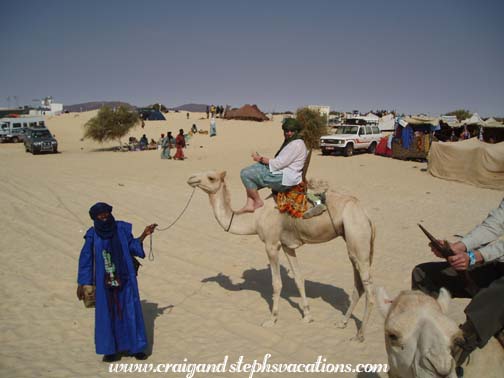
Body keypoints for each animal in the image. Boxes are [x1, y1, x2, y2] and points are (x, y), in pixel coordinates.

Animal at [188, 170, 374, 342]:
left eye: (211, 177)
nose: (191, 178)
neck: (255, 219)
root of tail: (366, 214)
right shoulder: (286, 246)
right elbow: (299, 278)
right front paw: (307, 316)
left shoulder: (271, 244)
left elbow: (277, 283)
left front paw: (272, 319)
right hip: (352, 245)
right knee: (358, 286)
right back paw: (342, 323)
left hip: (358, 238)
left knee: (369, 291)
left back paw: (359, 335)